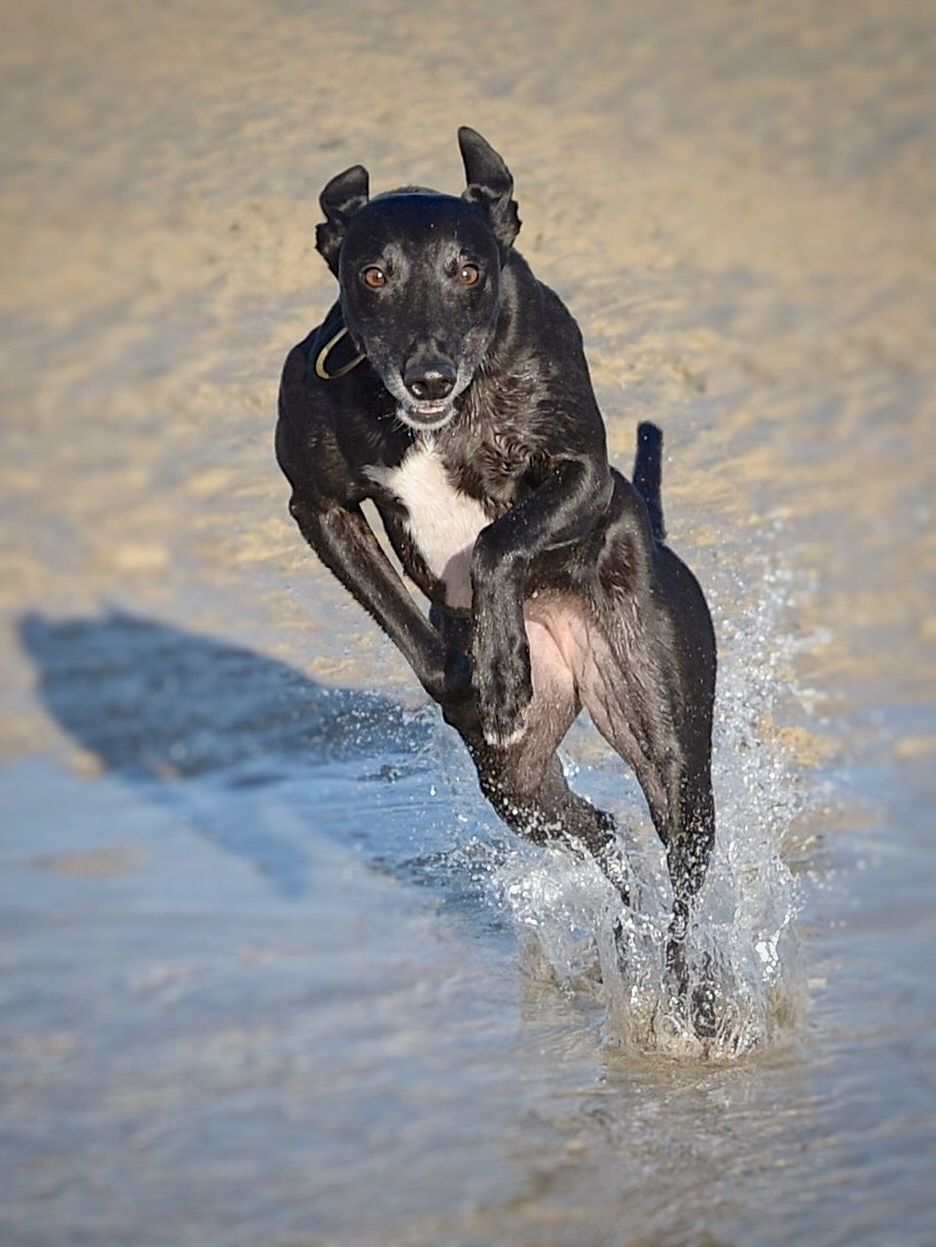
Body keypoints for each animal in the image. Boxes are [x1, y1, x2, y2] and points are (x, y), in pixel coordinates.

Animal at [277, 126, 717, 1022]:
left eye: (469, 269)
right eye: (373, 274)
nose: (430, 374)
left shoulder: (582, 472)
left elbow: (494, 543)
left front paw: (502, 669)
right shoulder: (316, 503)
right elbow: (402, 613)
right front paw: (471, 677)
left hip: (667, 731)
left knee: (681, 866)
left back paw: (690, 1003)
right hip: (518, 784)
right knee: (604, 835)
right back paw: (626, 953)